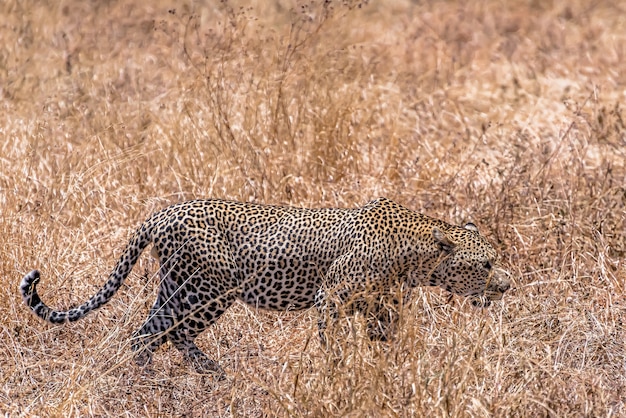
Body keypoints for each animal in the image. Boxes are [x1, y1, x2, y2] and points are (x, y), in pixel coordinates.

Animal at [19, 198, 510, 378]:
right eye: (485, 263)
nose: (506, 285)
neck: (415, 255)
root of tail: (161, 213)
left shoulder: (382, 308)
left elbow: (386, 342)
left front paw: (391, 369)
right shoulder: (330, 297)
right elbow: (333, 342)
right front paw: (337, 374)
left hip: (176, 288)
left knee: (148, 331)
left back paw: (149, 379)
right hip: (209, 289)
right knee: (173, 333)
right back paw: (210, 374)